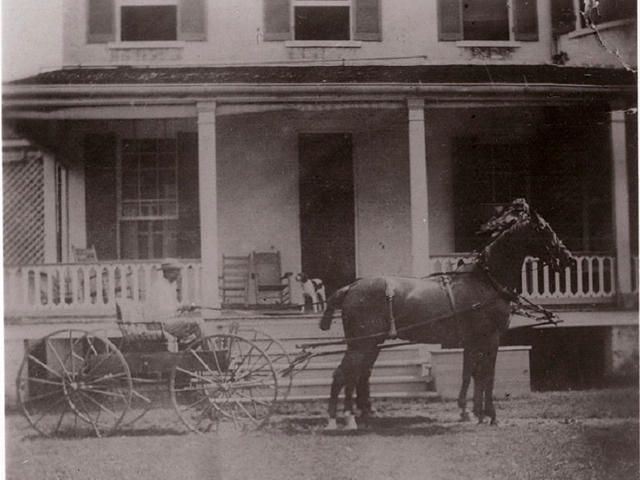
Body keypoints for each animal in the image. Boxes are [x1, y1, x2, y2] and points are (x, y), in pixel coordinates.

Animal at [320, 197, 576, 430]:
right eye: (544, 228)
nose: (569, 258)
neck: (485, 281)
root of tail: (351, 287)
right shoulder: (491, 339)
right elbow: (487, 376)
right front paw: (491, 415)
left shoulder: (473, 341)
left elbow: (471, 374)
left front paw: (473, 412)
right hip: (361, 344)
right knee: (342, 374)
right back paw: (340, 418)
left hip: (371, 343)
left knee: (357, 375)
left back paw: (357, 415)